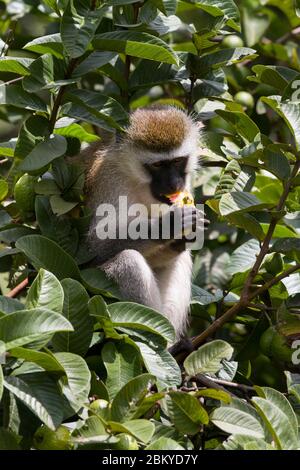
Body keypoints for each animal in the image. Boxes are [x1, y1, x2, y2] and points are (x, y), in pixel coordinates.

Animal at [81, 106, 204, 340]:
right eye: (157, 165)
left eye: (177, 161)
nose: (174, 184)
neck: (138, 182)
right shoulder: (109, 178)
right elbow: (96, 244)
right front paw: (168, 225)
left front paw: (186, 236)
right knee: (129, 261)